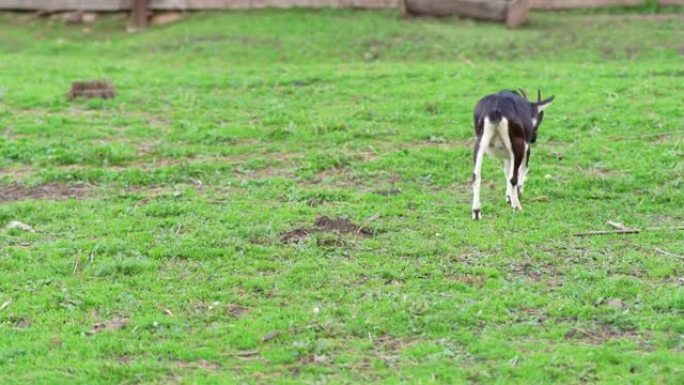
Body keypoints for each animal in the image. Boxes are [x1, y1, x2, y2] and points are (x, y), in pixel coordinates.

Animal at [472, 89, 552, 219]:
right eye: (539, 118)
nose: (533, 138)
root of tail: (495, 109)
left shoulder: (507, 156)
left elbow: (506, 171)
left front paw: (508, 197)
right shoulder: (525, 149)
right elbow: (521, 171)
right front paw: (516, 195)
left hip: (479, 144)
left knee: (476, 176)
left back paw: (476, 212)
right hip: (518, 145)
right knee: (513, 178)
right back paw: (517, 207)